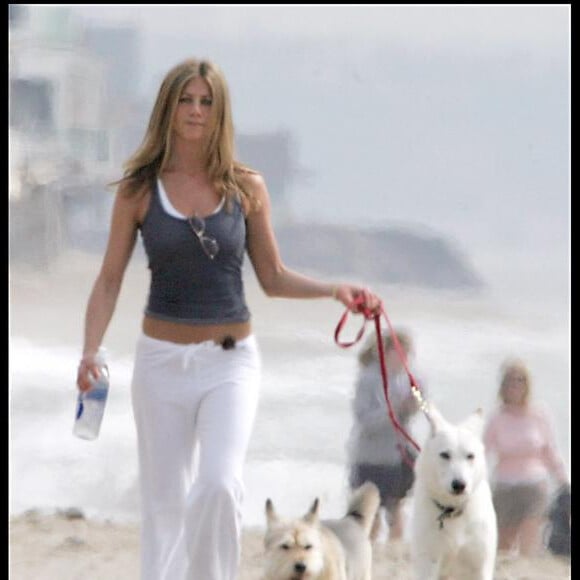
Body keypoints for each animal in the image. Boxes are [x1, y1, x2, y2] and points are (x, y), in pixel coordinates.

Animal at [408, 406, 498, 576]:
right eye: (445, 455)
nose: (459, 485)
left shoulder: (480, 564)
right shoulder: (429, 563)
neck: (454, 510)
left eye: (470, 456)